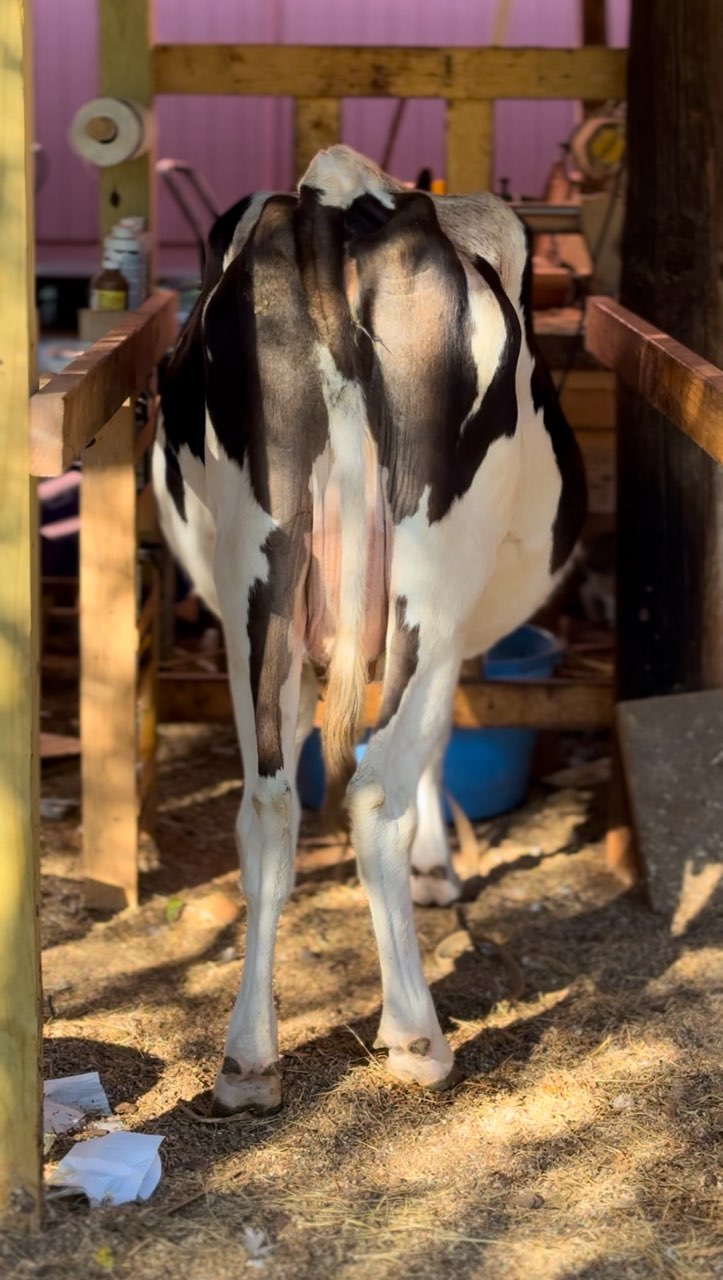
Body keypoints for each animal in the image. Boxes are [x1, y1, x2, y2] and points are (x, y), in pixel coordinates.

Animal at [153, 146, 586, 1115]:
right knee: (375, 784)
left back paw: (248, 1058)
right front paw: (434, 868)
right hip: (430, 573)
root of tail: (337, 197)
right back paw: (416, 1035)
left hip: (255, 574)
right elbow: (434, 745)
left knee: (268, 799)